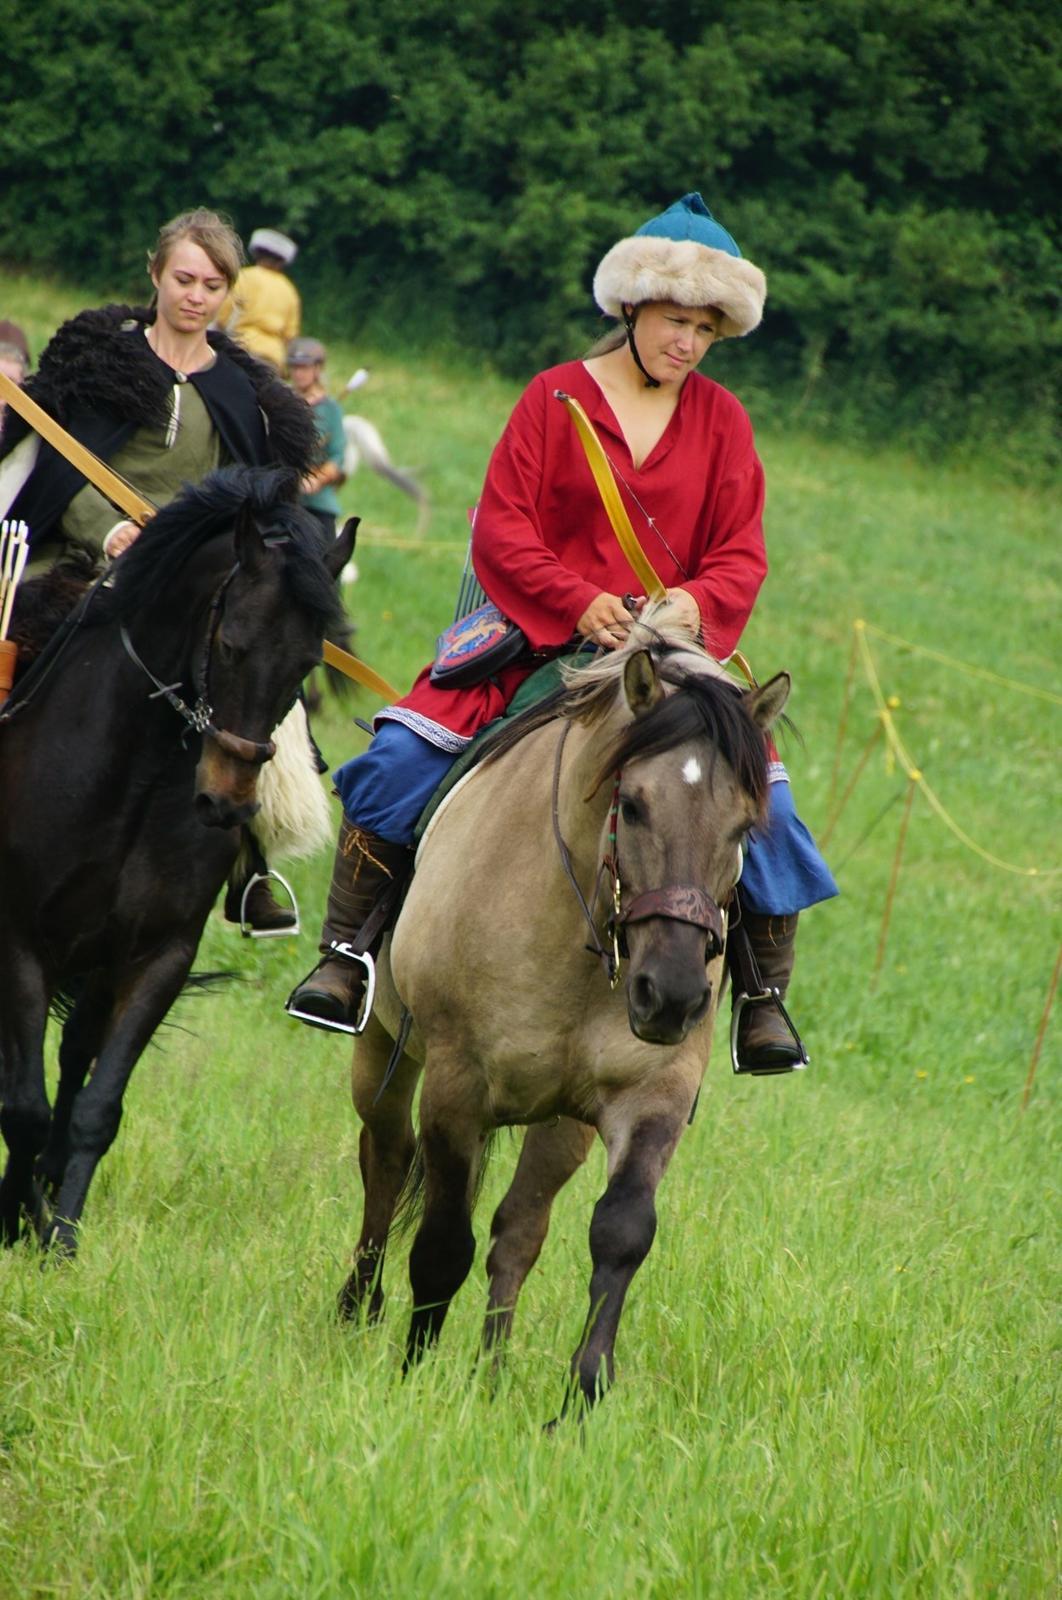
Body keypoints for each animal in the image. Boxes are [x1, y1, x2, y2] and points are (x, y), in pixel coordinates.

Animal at [0, 467, 356, 1254]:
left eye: (308, 662)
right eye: (230, 642)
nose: (226, 802)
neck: (130, 776)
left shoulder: (156, 956)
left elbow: (96, 1107)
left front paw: (59, 1236)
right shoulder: (21, 944)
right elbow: (24, 1106)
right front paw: (17, 1219)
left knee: (75, 1058)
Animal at [332, 611, 786, 1414]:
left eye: (744, 828)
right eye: (632, 805)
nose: (673, 996)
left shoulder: (651, 1095)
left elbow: (621, 1231)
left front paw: (581, 1395)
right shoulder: (455, 1086)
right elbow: (443, 1241)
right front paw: (412, 1374)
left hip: (560, 1122)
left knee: (518, 1231)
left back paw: (490, 1375)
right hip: (384, 1051)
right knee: (385, 1158)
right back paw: (359, 1306)